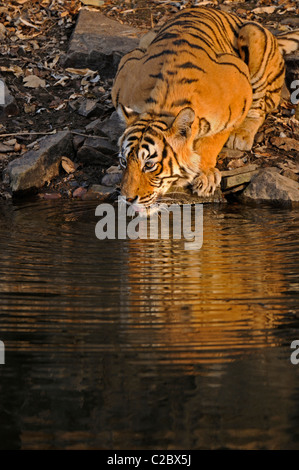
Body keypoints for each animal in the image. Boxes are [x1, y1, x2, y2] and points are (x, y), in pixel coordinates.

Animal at [111, 5, 298, 209]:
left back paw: (241, 136)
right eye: (123, 161)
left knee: (260, 107)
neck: (160, 108)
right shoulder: (126, 67)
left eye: (149, 165)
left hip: (254, 37)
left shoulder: (239, 95)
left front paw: (205, 175)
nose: (127, 199)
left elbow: (213, 141)